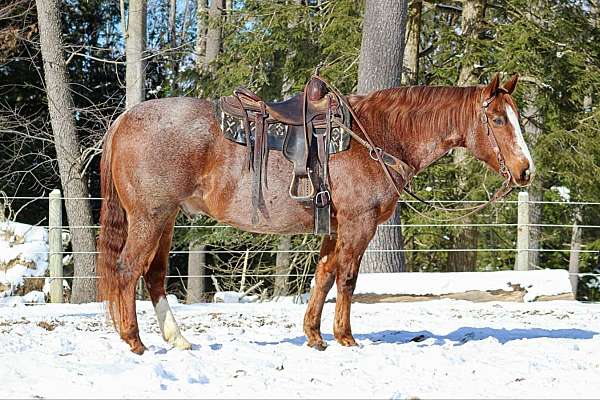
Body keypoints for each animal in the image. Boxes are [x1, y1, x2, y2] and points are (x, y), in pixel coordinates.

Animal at [98, 72, 536, 354]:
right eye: (499, 119)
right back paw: (134, 341)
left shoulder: (336, 226)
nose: (525, 171)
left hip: (166, 218)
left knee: (153, 276)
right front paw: (345, 337)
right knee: (127, 270)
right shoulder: (359, 224)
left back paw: (178, 338)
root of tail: (124, 119)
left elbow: (323, 276)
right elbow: (347, 278)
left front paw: (314, 335)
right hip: (151, 216)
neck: (376, 136)